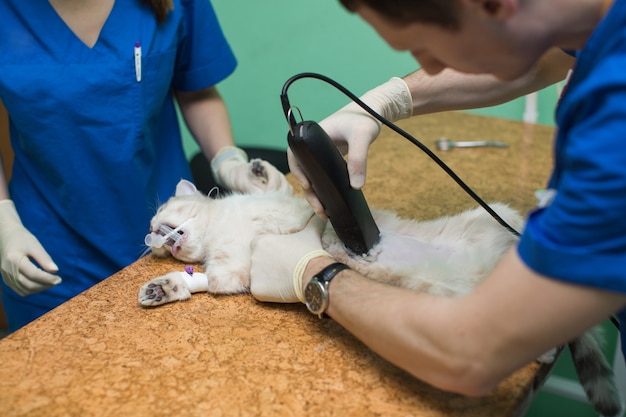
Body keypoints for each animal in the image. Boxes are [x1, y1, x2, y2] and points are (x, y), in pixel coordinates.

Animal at [136, 160, 620, 416]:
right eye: (154, 231)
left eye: (163, 214)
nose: (153, 235)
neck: (219, 233)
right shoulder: (233, 270)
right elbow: (207, 279)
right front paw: (165, 286)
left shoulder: (289, 208)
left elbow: (276, 186)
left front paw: (250, 168)